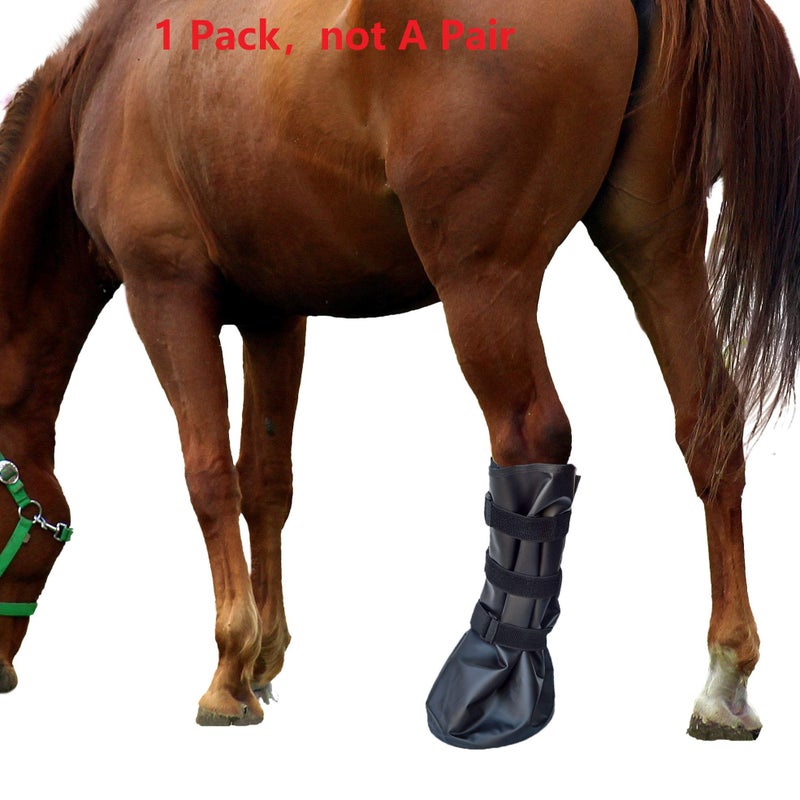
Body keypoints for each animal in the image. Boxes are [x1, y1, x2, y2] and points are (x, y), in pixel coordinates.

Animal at [1, 0, 798, 747]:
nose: (1, 673)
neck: (110, 79)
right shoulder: (274, 316)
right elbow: (266, 483)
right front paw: (265, 659)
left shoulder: (164, 295)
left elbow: (209, 478)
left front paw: (229, 673)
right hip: (656, 245)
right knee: (708, 427)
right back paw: (724, 682)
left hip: (483, 283)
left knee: (530, 437)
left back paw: (494, 674)